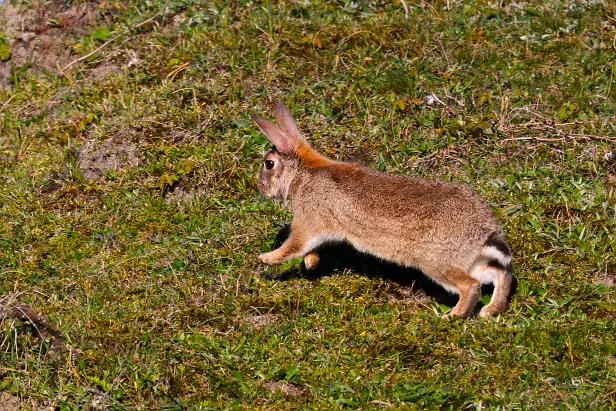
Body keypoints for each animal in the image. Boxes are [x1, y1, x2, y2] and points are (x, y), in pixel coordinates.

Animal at [250, 102, 516, 318]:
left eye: (269, 164)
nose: (260, 187)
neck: (303, 173)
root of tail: (487, 233)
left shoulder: (308, 222)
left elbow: (294, 246)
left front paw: (266, 258)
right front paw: (311, 264)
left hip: (436, 262)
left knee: (471, 286)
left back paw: (453, 316)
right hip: (472, 261)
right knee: (499, 275)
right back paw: (490, 310)